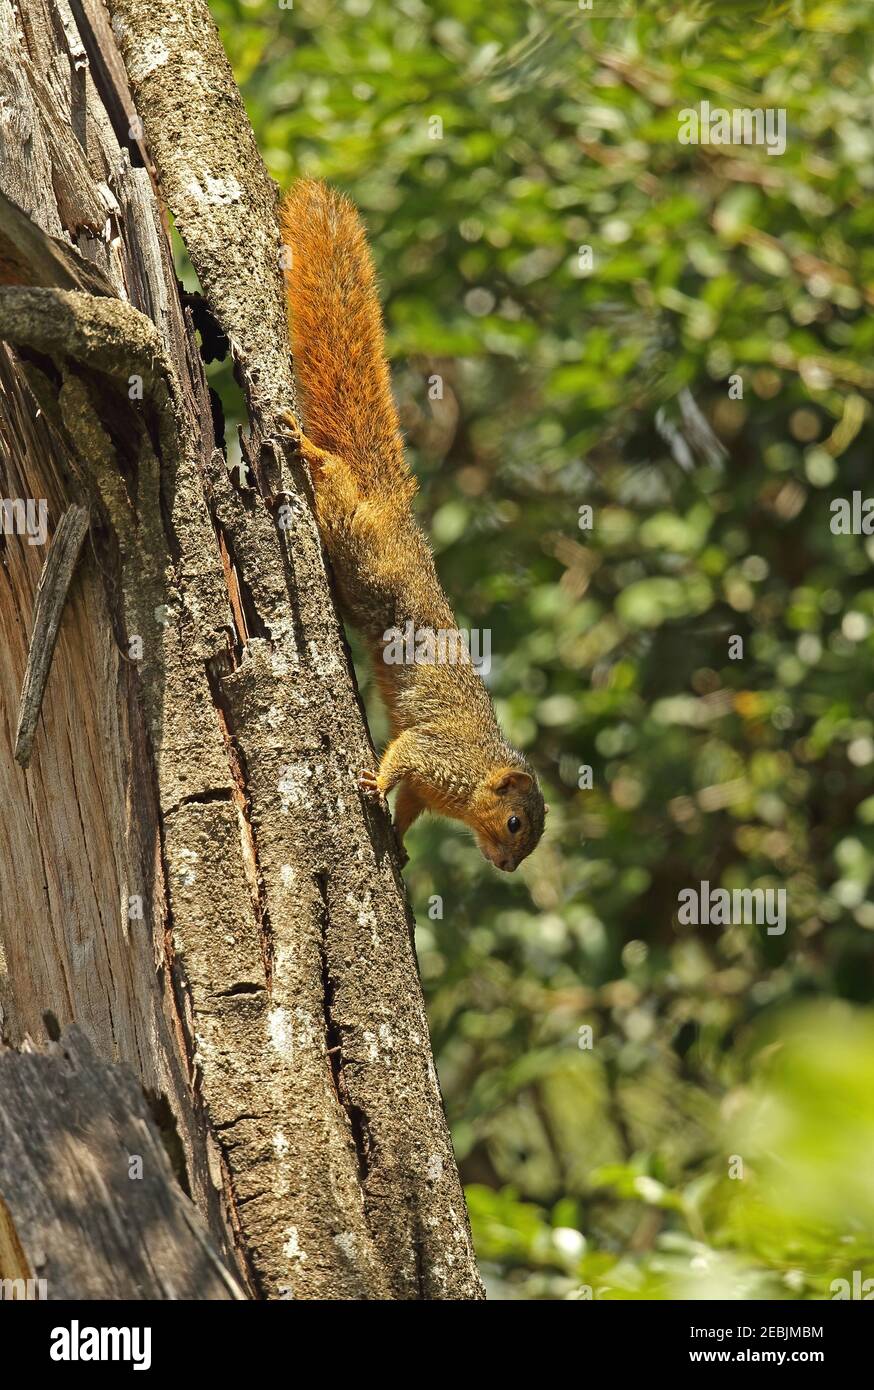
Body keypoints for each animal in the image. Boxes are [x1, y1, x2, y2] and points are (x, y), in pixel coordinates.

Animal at [279, 173, 544, 867]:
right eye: (515, 824)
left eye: (529, 841)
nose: (507, 867)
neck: (472, 780)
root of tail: (394, 507)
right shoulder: (433, 754)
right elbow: (399, 757)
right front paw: (372, 780)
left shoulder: (430, 791)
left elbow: (407, 808)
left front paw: (397, 845)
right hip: (359, 545)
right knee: (335, 481)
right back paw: (307, 448)